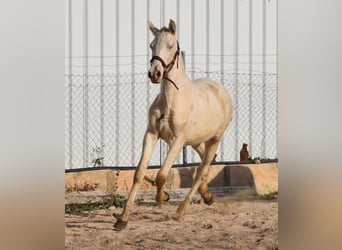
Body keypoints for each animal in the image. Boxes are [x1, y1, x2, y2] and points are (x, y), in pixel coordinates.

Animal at [113, 19, 234, 230]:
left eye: (170, 46)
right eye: (151, 45)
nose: (155, 73)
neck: (171, 101)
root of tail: (222, 91)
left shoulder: (178, 140)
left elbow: (162, 175)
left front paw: (164, 197)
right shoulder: (151, 135)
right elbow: (139, 173)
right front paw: (122, 219)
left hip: (214, 139)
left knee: (201, 169)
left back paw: (181, 212)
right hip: (196, 140)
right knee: (205, 161)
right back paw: (207, 196)